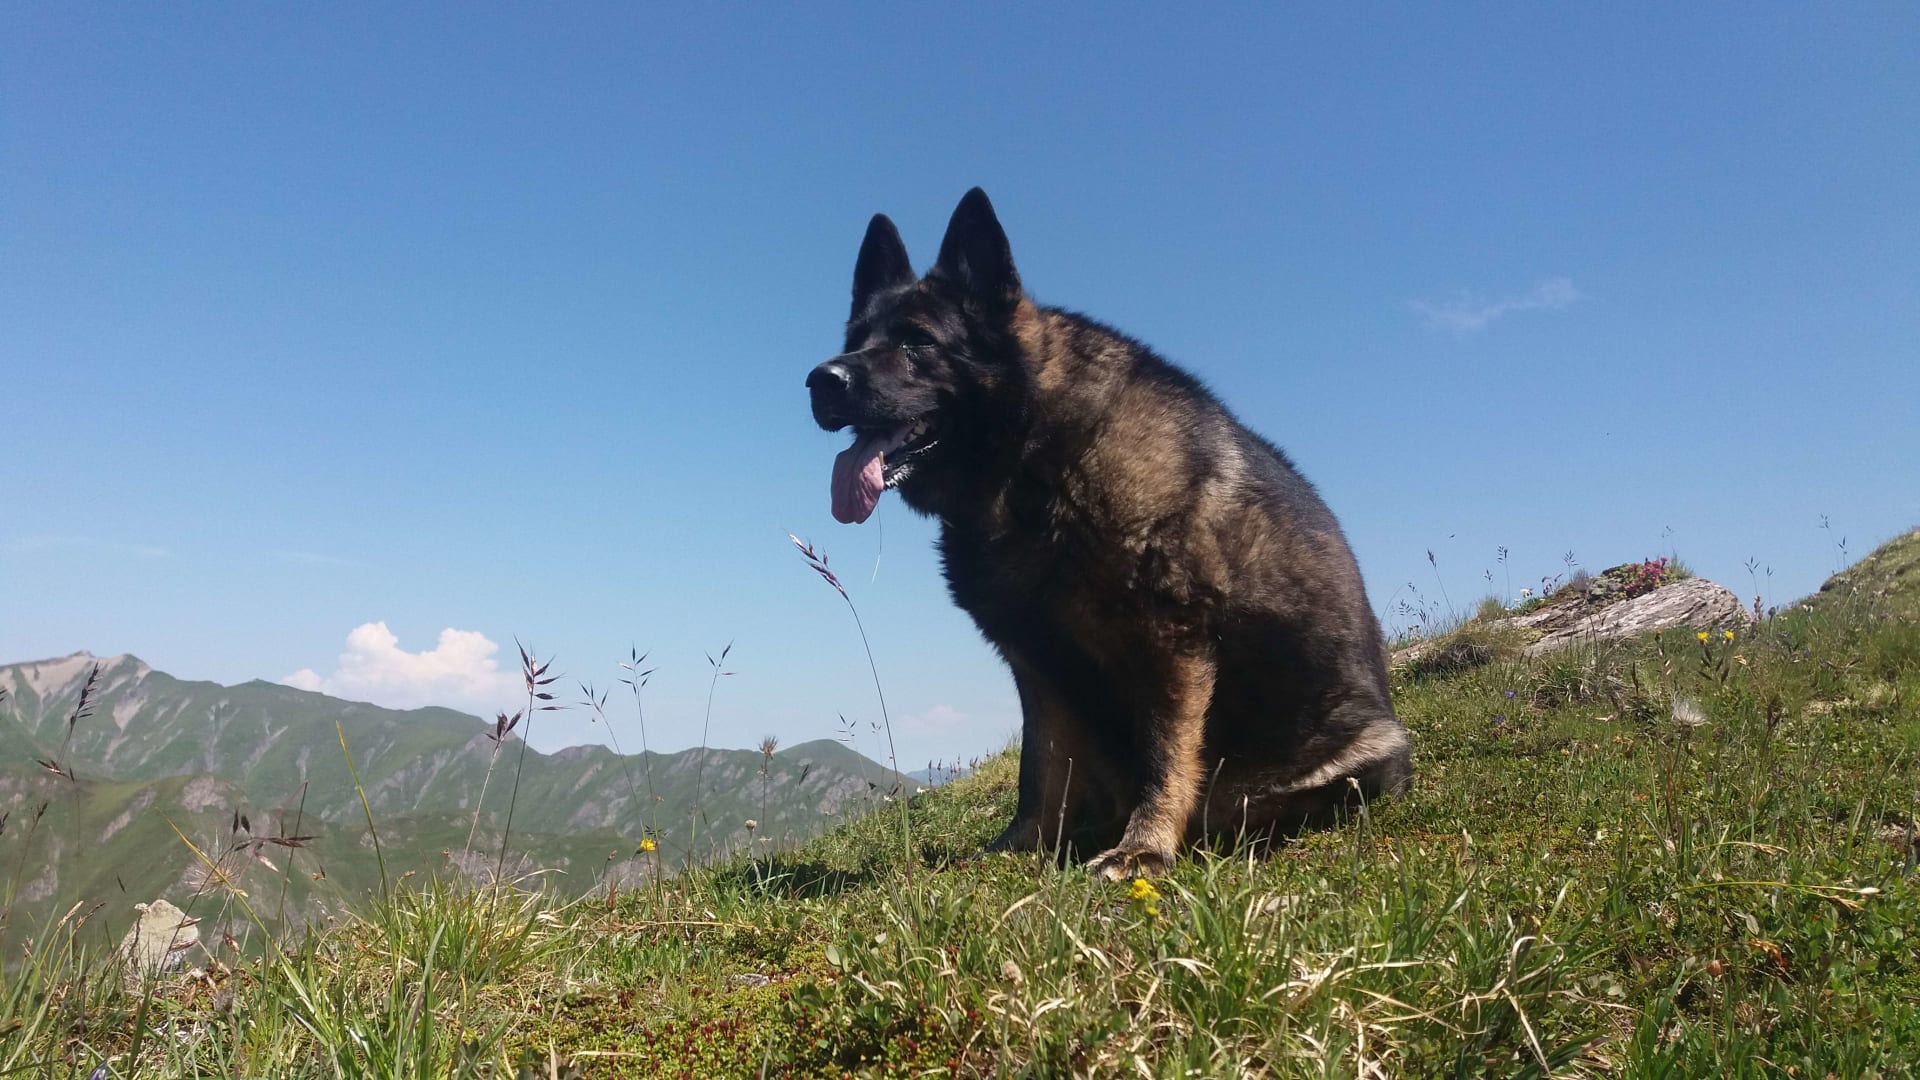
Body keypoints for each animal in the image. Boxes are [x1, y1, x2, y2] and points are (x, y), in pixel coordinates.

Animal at [808, 188, 1411, 878]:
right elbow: (1039, 770)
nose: (820, 381)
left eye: (916, 342)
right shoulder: (1037, 663)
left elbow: (1164, 755)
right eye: (856, 339)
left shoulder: (1171, 644)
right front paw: (1018, 846)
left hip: (1353, 763)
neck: (1031, 458)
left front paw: (1144, 847)